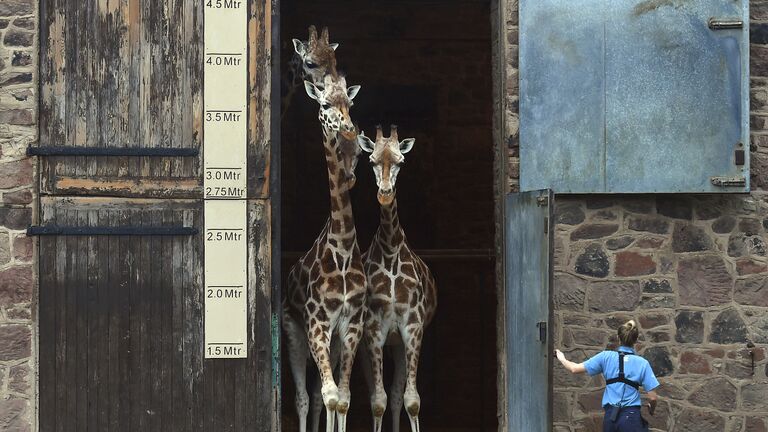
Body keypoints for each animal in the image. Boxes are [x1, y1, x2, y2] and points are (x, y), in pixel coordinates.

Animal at [356, 125, 436, 432]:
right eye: (371, 160)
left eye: (401, 161)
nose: (385, 194)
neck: (390, 249)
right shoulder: (373, 330)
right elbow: (377, 400)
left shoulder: (412, 327)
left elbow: (411, 399)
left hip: (399, 344)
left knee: (397, 394)